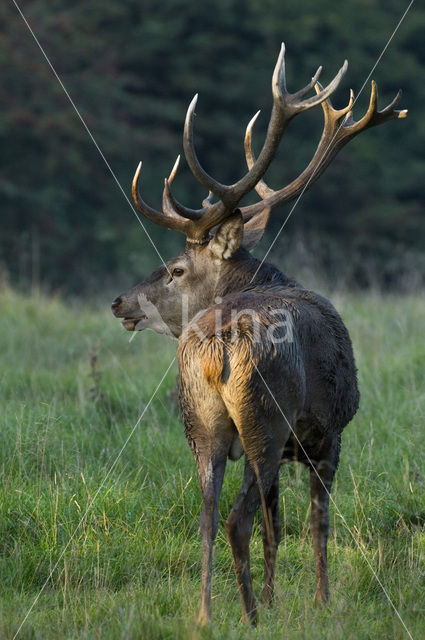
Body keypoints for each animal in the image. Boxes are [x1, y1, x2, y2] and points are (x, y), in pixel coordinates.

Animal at [109, 45, 404, 624]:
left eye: (176, 269)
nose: (120, 302)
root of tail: (216, 347)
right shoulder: (331, 431)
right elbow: (314, 526)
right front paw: (321, 602)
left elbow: (278, 528)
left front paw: (275, 597)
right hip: (265, 420)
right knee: (235, 519)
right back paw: (247, 616)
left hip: (201, 424)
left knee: (206, 516)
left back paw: (207, 614)